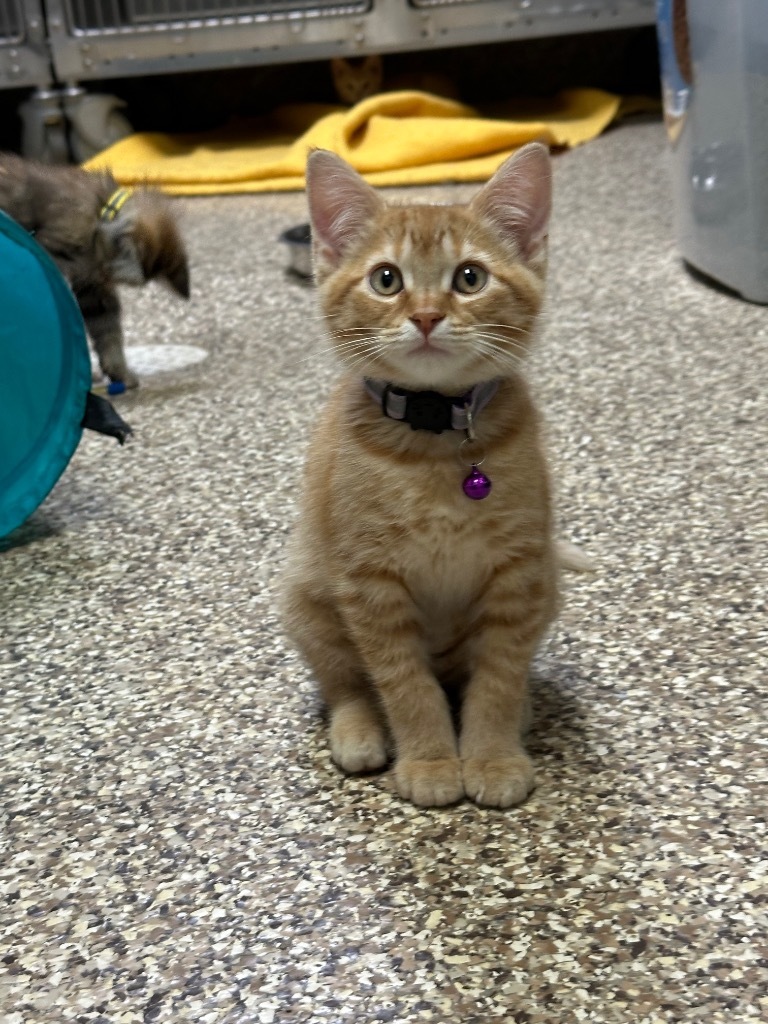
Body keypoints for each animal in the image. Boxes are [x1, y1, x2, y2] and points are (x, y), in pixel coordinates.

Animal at [282, 144, 561, 811]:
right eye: (387, 279)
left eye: (470, 278)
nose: (429, 316)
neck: (433, 446)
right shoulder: (369, 585)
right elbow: (403, 684)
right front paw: (432, 761)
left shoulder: (520, 575)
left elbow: (499, 676)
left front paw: (491, 755)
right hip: (303, 599)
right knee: (343, 681)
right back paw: (357, 730)